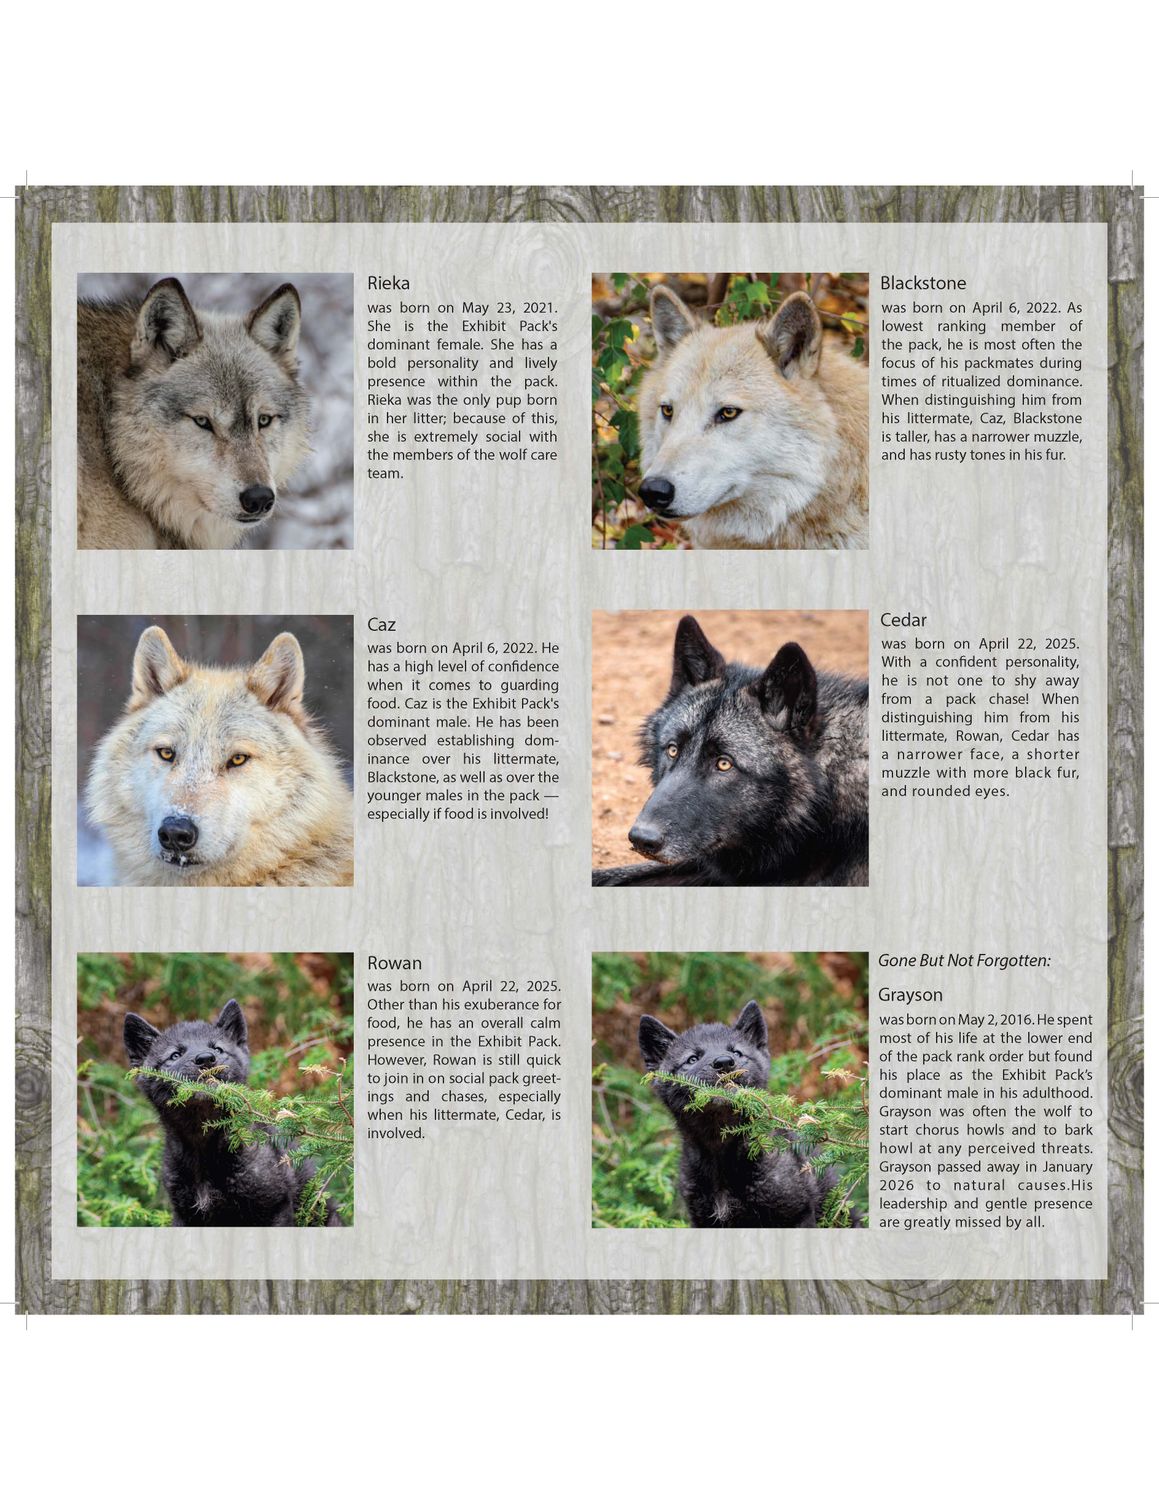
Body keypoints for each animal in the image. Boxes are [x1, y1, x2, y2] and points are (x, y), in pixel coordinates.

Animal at [124, 999, 340, 1227]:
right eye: (175, 1055)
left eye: (218, 1049)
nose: (206, 1059)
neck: (203, 1145)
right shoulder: (185, 1215)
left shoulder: (274, 1206)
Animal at [639, 1002, 857, 1227]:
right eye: (692, 1059)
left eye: (736, 1052)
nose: (724, 1063)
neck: (721, 1152)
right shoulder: (703, 1219)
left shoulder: (796, 1213)